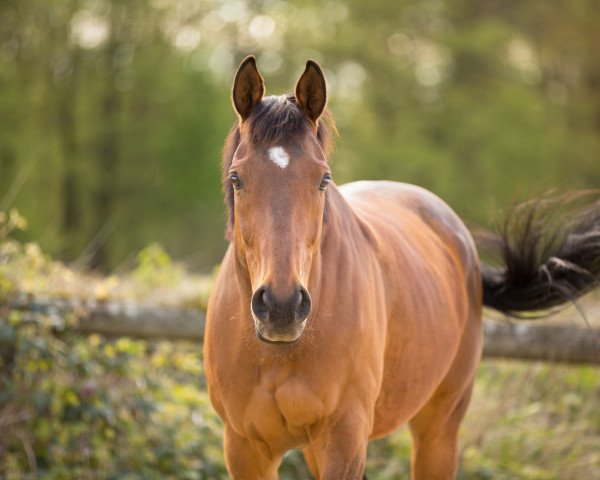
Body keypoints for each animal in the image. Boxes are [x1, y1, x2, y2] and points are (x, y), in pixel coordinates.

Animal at [203, 57, 600, 480]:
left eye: (323, 179)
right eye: (236, 178)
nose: (282, 307)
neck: (280, 353)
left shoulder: (344, 439)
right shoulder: (244, 449)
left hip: (439, 429)